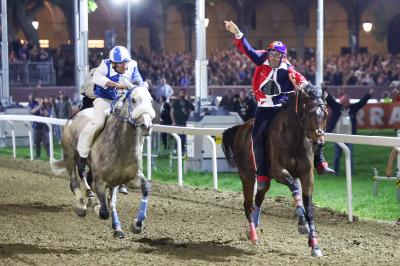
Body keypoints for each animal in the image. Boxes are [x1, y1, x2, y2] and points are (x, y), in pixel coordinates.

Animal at [50, 85, 156, 237]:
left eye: (151, 100)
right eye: (134, 100)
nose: (146, 125)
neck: (121, 147)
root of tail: (73, 117)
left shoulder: (128, 178)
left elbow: (143, 188)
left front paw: (135, 224)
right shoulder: (100, 180)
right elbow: (104, 210)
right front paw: (97, 207)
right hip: (69, 154)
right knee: (75, 181)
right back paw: (82, 205)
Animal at [222, 84, 328, 256]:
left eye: (325, 114)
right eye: (310, 114)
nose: (320, 142)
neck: (293, 138)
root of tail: (240, 128)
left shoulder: (307, 175)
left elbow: (309, 209)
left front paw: (315, 245)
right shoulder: (278, 171)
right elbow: (293, 185)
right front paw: (301, 221)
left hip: (264, 179)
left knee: (259, 197)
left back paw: (255, 226)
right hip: (247, 175)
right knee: (247, 205)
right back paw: (254, 236)